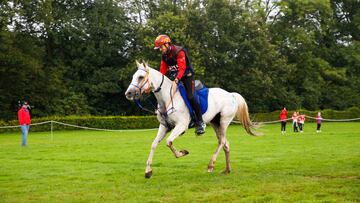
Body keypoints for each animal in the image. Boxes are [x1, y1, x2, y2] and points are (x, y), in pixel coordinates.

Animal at [124, 61, 258, 178]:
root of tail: (231, 94)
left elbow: (168, 142)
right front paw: (148, 171)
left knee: (222, 142)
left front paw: (183, 152)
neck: (167, 98)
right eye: (133, 76)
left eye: (141, 77)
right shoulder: (164, 126)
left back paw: (211, 165)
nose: (128, 93)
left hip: (224, 121)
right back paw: (227, 170)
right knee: (226, 144)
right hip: (215, 123)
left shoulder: (181, 125)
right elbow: (154, 144)